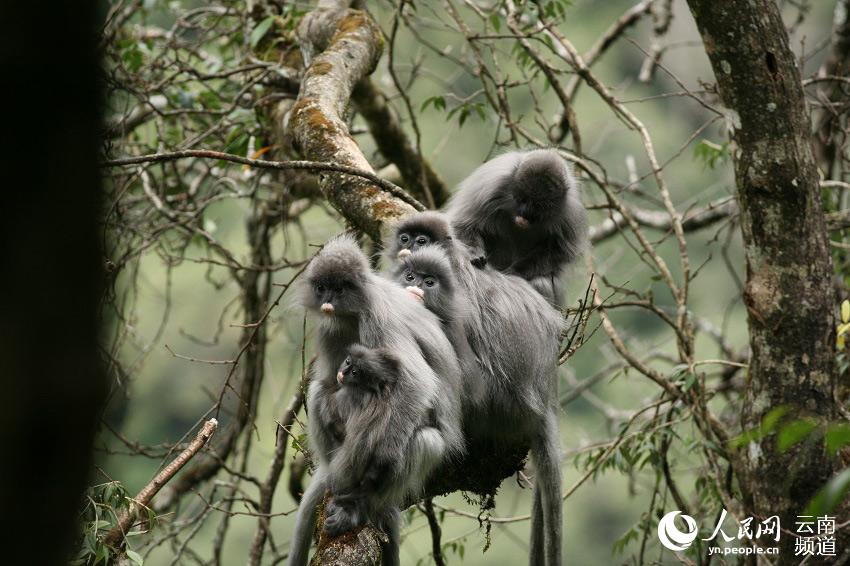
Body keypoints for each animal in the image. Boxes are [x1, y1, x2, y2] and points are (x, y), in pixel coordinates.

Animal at [290, 235, 464, 566]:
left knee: (425, 439)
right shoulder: (330, 328)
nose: (328, 300)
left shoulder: (379, 318)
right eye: (322, 288)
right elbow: (329, 383)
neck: (353, 311)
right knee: (318, 390)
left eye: (339, 289)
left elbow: (417, 383)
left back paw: (361, 504)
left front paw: (381, 460)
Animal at [444, 148, 584, 306]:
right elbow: (463, 224)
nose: (524, 213)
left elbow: (559, 252)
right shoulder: (492, 185)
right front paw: (474, 252)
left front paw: (515, 271)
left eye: (538, 206)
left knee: (542, 281)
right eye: (523, 199)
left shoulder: (569, 211)